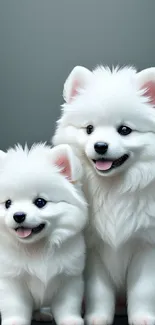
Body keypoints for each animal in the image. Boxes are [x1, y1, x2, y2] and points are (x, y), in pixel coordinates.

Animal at [0, 143, 87, 324]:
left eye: (40, 202)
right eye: (8, 203)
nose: (18, 215)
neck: (37, 248)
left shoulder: (69, 279)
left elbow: (68, 306)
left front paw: (71, 320)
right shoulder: (12, 280)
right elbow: (14, 307)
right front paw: (15, 321)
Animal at [53, 65, 155, 324]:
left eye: (125, 130)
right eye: (89, 129)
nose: (100, 146)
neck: (114, 188)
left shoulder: (146, 246)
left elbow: (143, 290)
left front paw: (142, 318)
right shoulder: (93, 249)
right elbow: (98, 291)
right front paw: (98, 317)